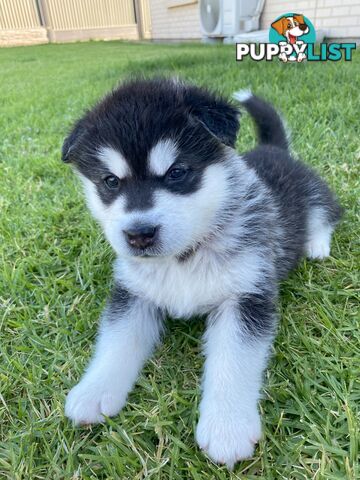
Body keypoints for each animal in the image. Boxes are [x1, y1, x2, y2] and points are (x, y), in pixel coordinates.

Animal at [63, 79, 342, 468]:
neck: (184, 256)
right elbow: (116, 341)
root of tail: (271, 149)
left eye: (177, 172)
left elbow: (234, 358)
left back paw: (316, 245)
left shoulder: (246, 295)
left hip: (313, 192)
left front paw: (227, 427)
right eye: (110, 181)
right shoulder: (133, 295)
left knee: (324, 214)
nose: (139, 234)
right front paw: (95, 390)